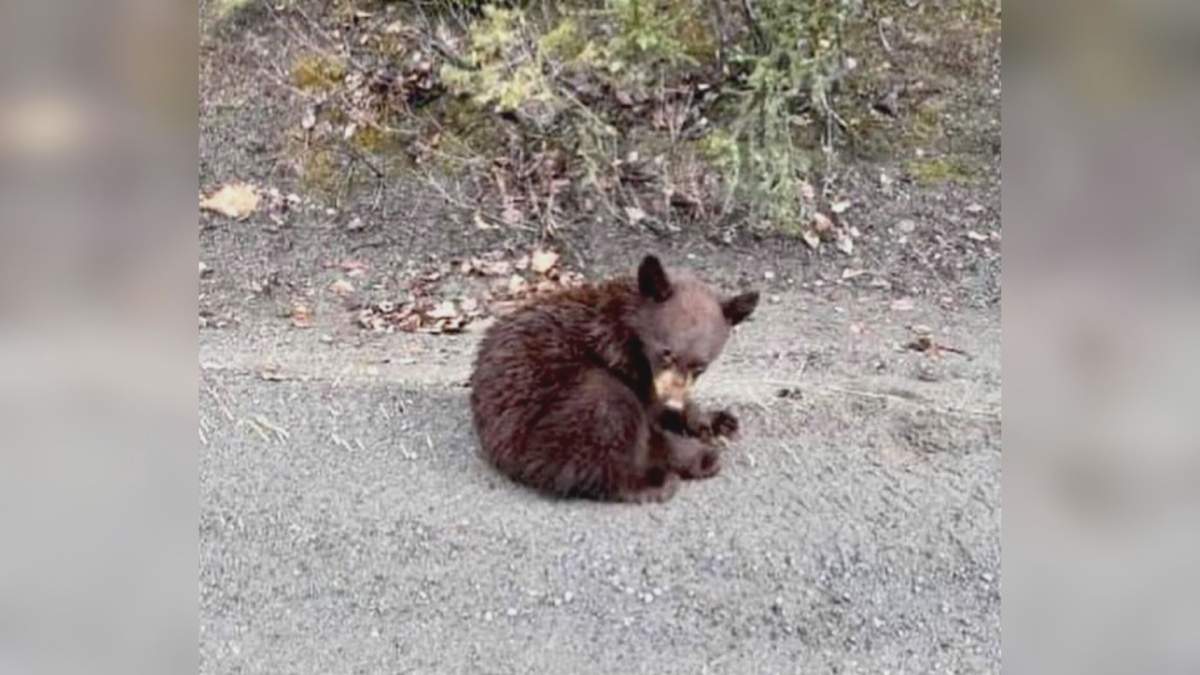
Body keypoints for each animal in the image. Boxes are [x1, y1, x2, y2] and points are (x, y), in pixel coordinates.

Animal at [468, 254, 759, 503]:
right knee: (607, 419)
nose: (673, 403)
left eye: (701, 366)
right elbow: (648, 417)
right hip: (551, 411)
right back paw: (659, 481)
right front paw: (700, 449)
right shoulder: (621, 360)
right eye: (666, 353)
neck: (630, 330)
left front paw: (715, 419)